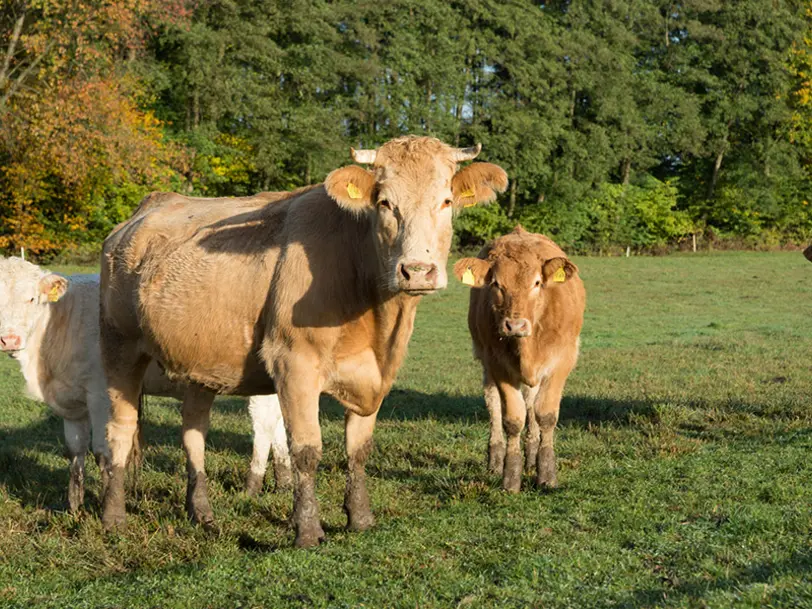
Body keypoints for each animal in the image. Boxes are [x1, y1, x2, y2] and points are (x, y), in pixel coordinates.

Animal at [0, 256, 292, 508]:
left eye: (31, 298)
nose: (9, 339)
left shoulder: (100, 394)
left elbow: (102, 451)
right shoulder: (70, 398)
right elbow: (75, 451)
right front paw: (74, 507)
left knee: (263, 425)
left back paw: (252, 485)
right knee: (277, 423)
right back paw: (283, 481)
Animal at [100, 135, 508, 544]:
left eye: (446, 201)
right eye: (384, 203)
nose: (417, 271)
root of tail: (143, 211)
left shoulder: (373, 374)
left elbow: (359, 448)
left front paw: (360, 518)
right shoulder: (293, 362)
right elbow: (307, 449)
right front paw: (308, 530)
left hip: (201, 361)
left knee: (194, 430)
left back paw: (201, 513)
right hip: (119, 347)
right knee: (121, 428)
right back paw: (114, 516)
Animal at [456, 226, 584, 492]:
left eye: (537, 282)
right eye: (496, 284)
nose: (514, 325)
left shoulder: (563, 360)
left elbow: (545, 414)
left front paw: (547, 473)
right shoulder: (497, 364)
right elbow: (513, 419)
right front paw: (511, 477)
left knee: (532, 403)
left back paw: (532, 456)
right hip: (486, 363)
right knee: (494, 404)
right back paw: (495, 459)